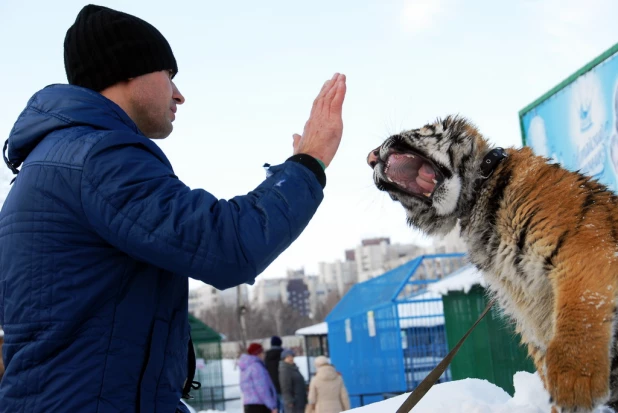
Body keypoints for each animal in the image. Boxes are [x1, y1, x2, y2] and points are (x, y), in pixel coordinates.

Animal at [366, 115, 616, 412]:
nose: (369, 157)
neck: (475, 199)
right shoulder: (527, 309)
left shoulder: (581, 245)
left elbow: (580, 311)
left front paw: (574, 383)